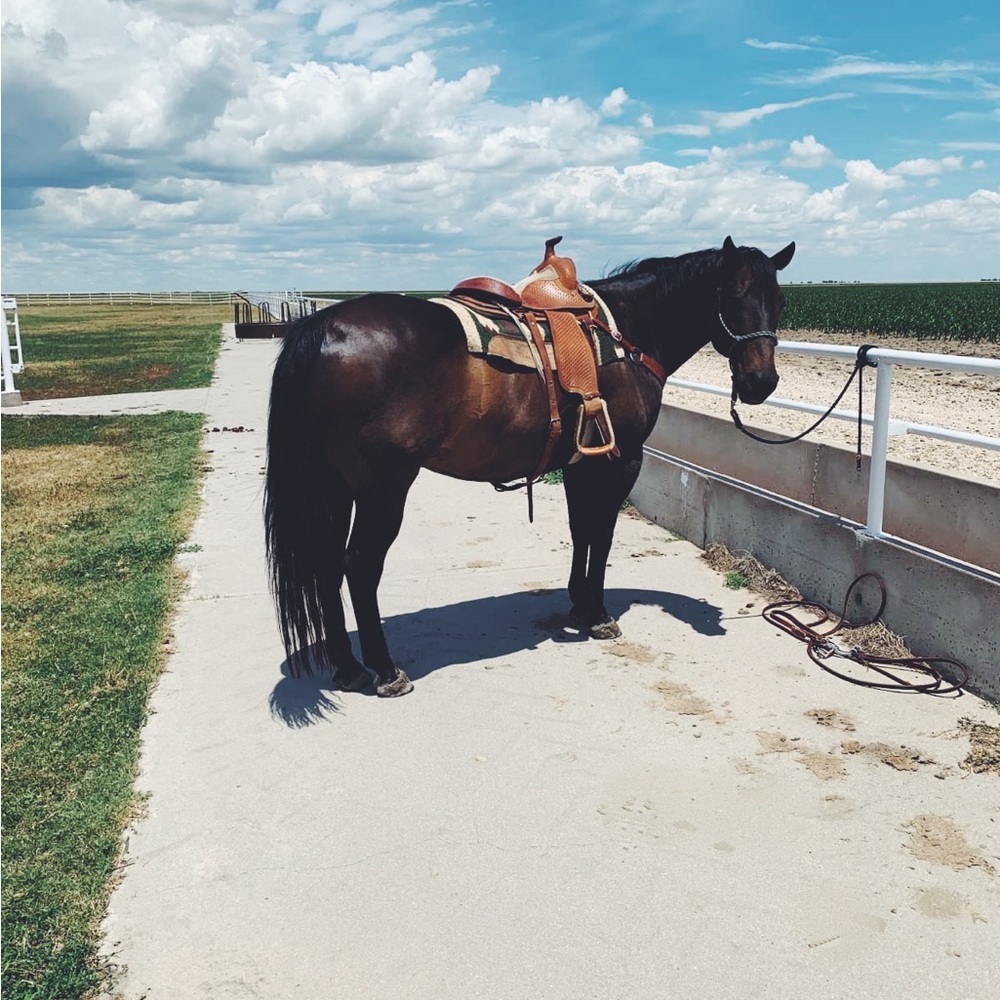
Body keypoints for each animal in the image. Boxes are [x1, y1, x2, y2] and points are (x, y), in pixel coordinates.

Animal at [265, 235, 795, 696]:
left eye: (780, 300)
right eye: (732, 295)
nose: (761, 382)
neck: (626, 332)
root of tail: (326, 328)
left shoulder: (582, 463)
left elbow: (581, 531)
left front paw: (579, 604)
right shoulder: (622, 460)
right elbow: (602, 535)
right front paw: (598, 613)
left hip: (335, 486)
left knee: (326, 564)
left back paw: (349, 667)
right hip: (383, 489)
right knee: (358, 565)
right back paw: (385, 669)